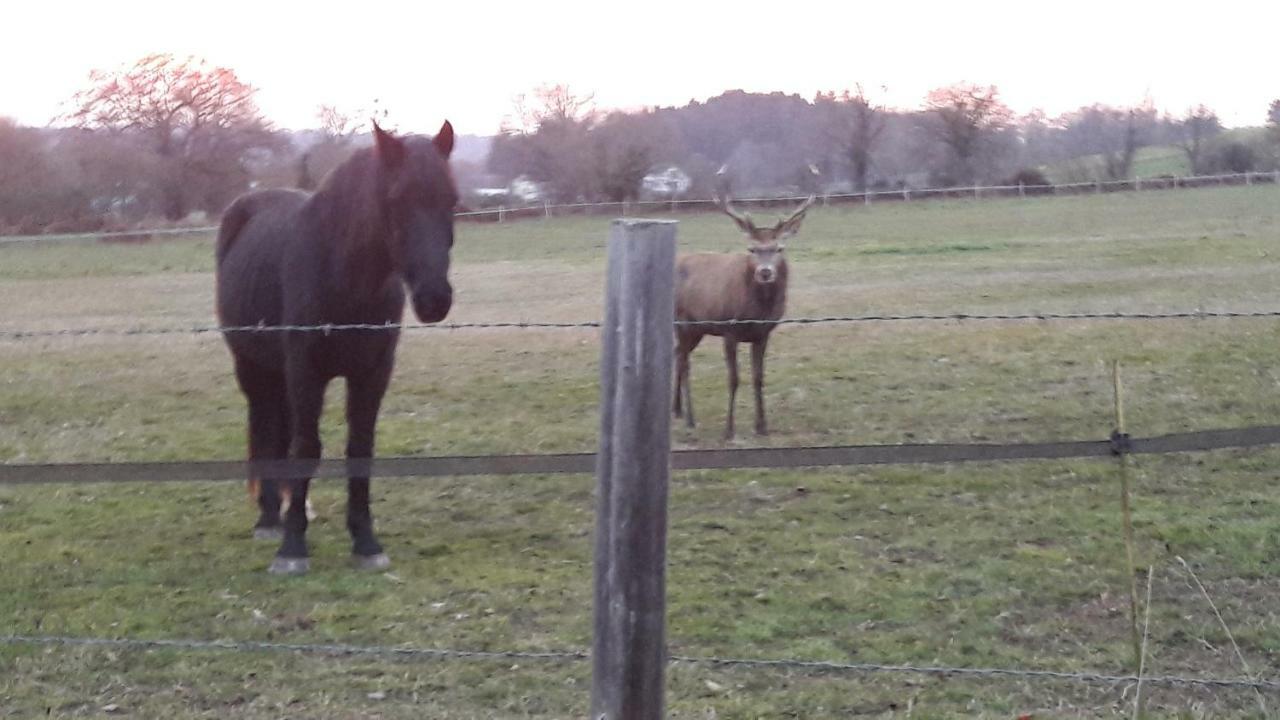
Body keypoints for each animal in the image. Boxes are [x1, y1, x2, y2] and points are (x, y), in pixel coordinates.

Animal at [217, 120, 458, 573]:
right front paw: (292, 547)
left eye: (452, 198)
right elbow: (306, 448)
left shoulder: (373, 373)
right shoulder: (306, 372)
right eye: (396, 199)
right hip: (253, 368)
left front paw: (366, 543)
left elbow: (359, 449)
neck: (341, 275)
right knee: (265, 429)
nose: (434, 299)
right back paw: (269, 519)